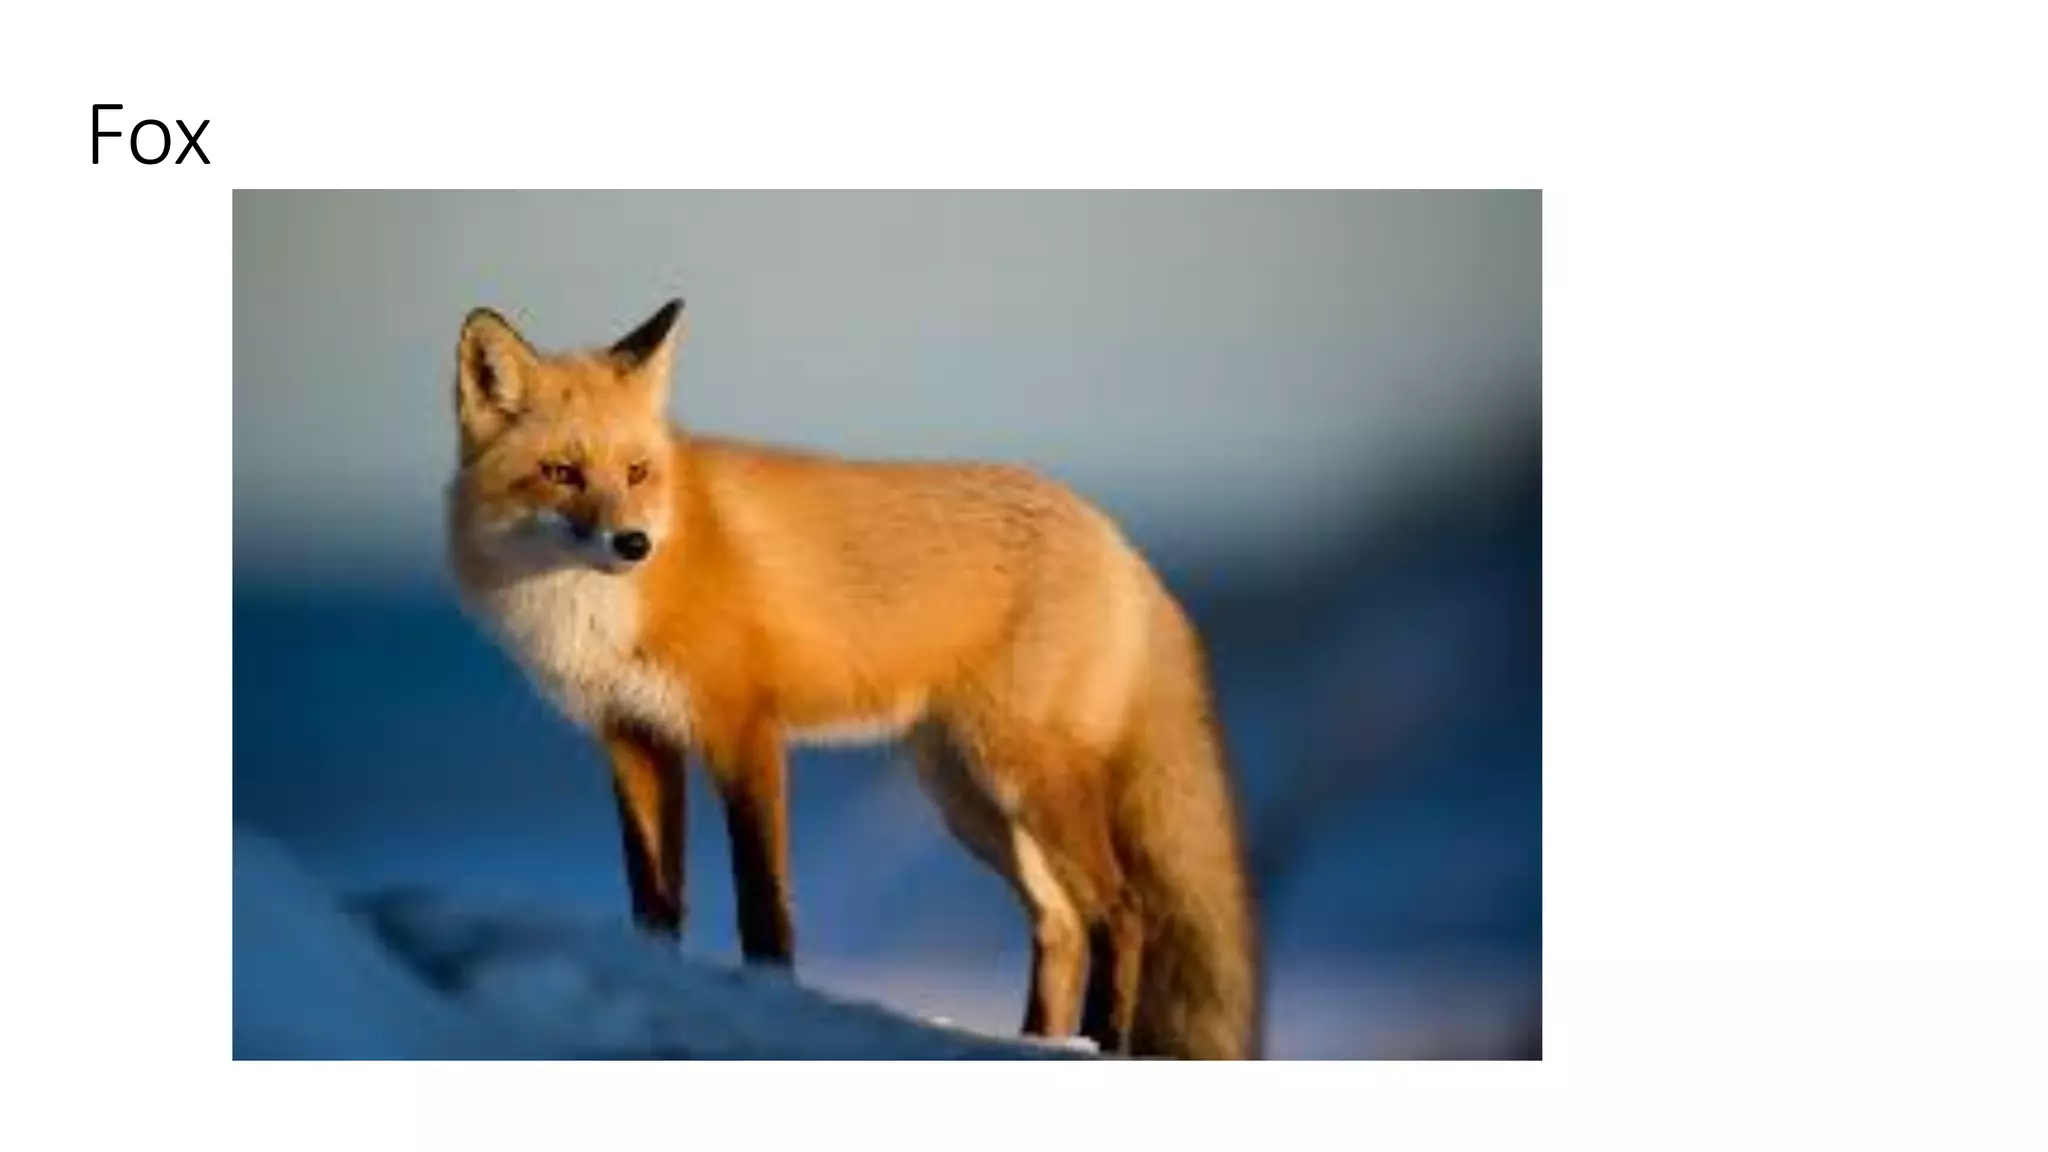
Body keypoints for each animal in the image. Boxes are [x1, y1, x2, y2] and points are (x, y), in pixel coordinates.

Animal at [443, 298, 1262, 1059]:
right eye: (562, 473)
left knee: (1123, 911)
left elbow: (762, 900)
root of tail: (1117, 539)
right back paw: (1038, 1041)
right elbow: (654, 898)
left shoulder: (745, 730)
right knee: (1061, 924)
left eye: (637, 472)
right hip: (970, 798)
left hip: (1025, 775)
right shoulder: (634, 739)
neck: (601, 610)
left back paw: (1101, 1040)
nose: (633, 543)